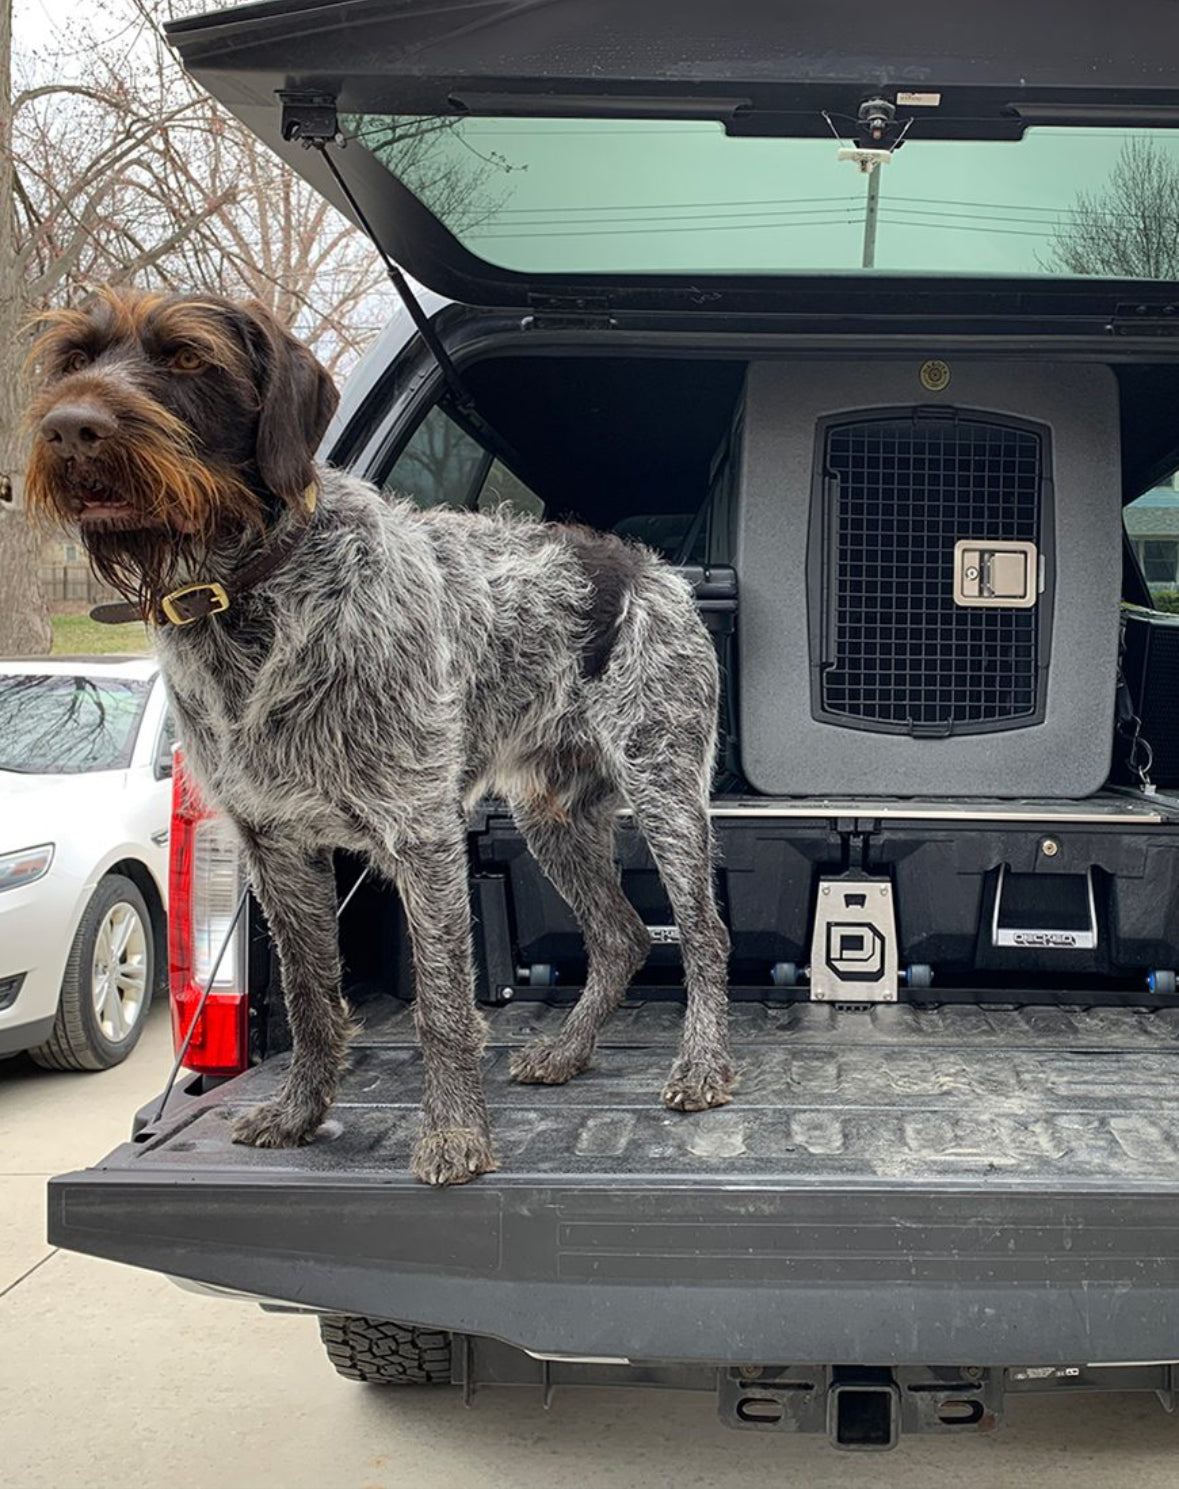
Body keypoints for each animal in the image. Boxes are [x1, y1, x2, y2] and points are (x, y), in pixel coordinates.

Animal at [23, 293, 732, 1185]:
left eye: (188, 357)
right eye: (73, 359)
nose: (70, 429)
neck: (252, 601)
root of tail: (653, 570)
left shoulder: (421, 833)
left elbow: (441, 1005)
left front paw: (457, 1134)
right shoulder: (276, 843)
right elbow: (309, 995)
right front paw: (300, 1113)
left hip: (663, 786)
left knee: (699, 933)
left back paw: (701, 1065)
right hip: (552, 815)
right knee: (621, 936)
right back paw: (567, 1050)